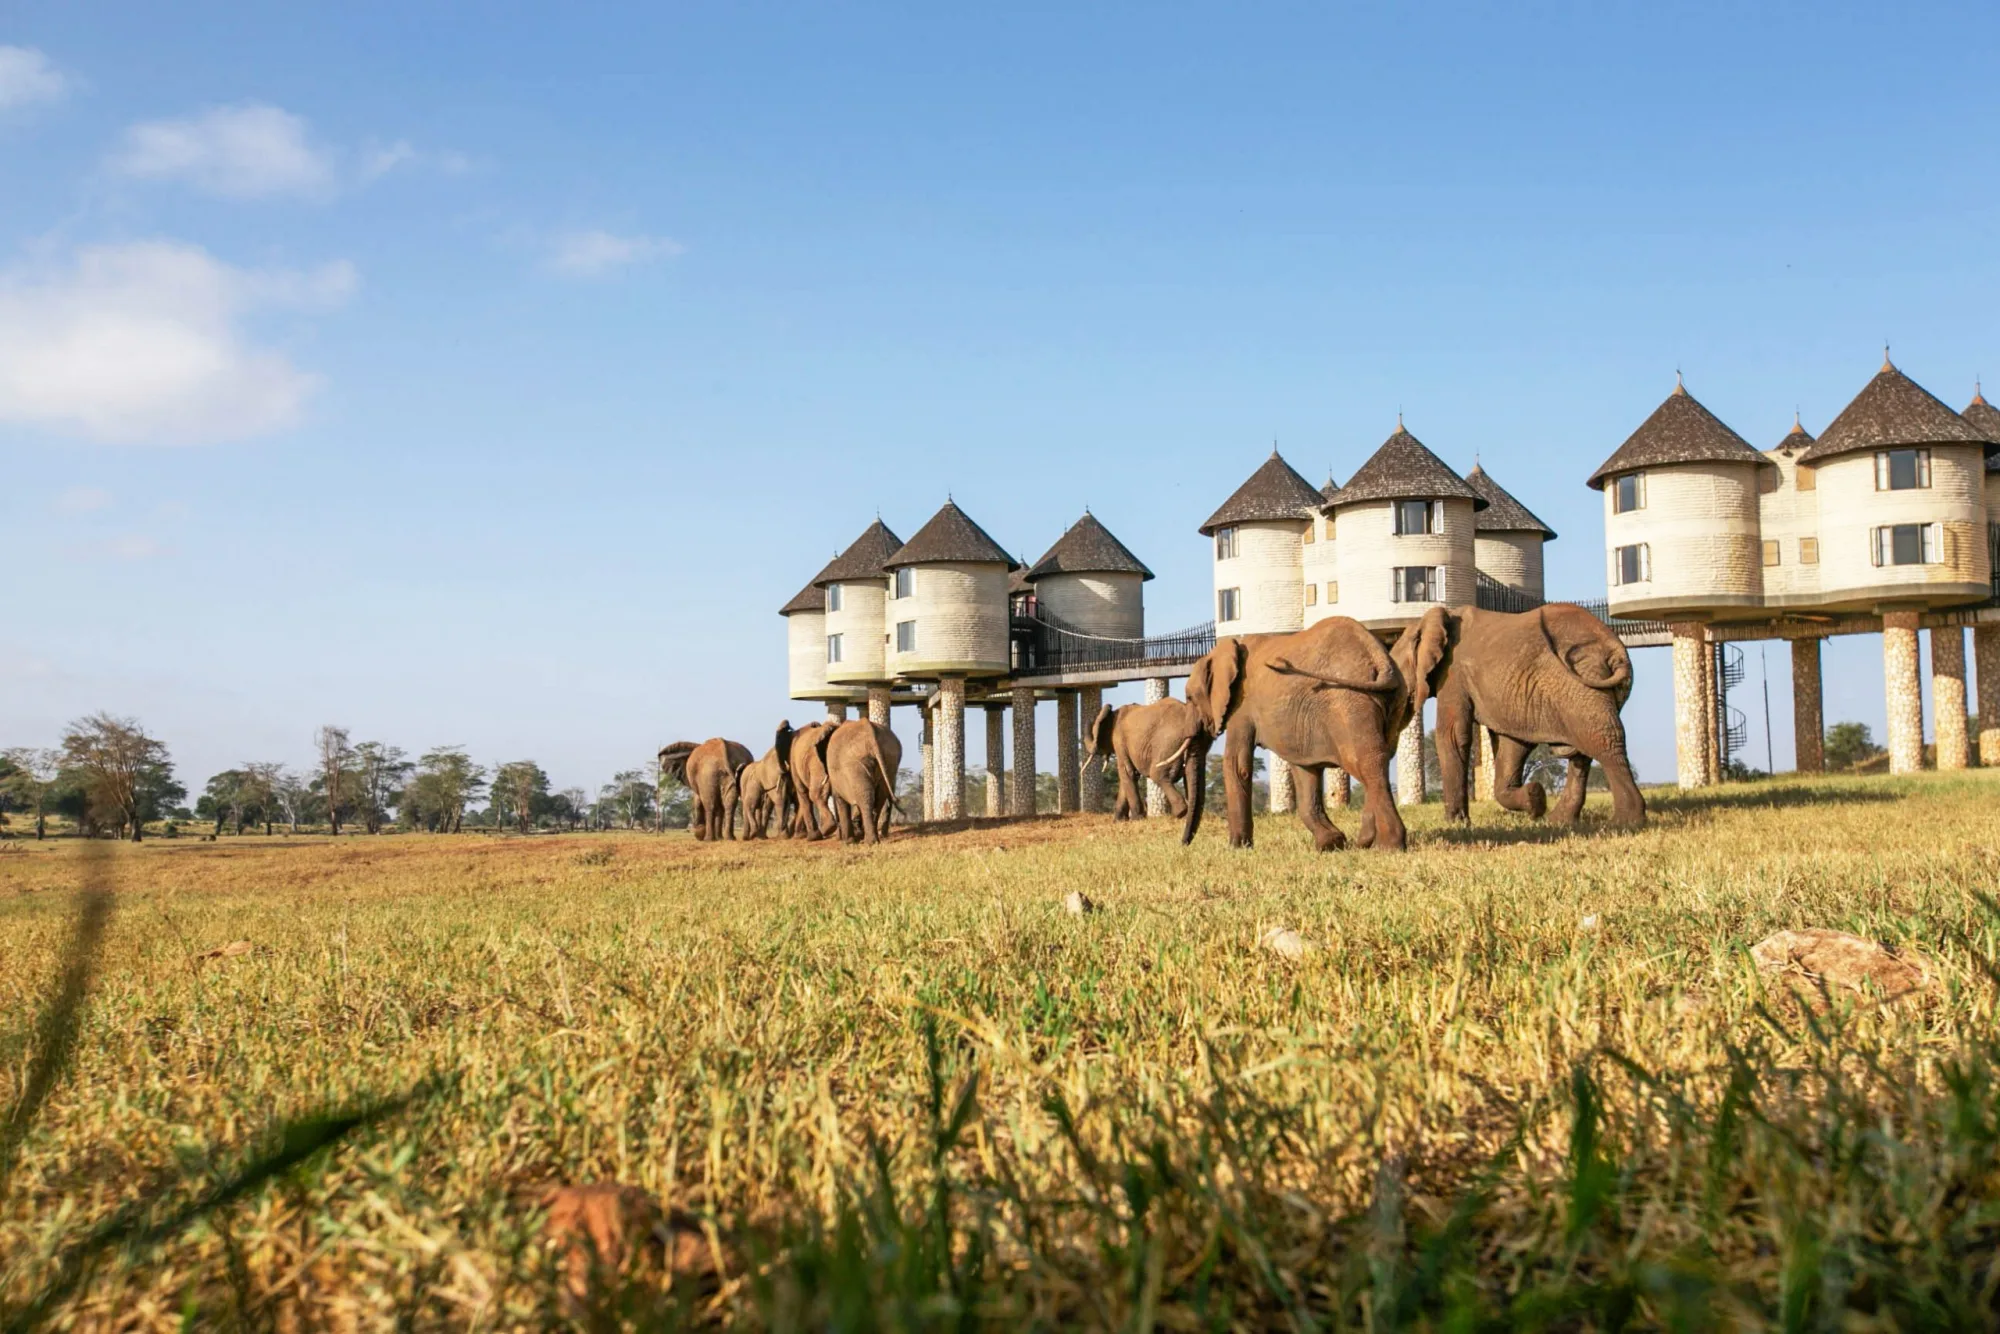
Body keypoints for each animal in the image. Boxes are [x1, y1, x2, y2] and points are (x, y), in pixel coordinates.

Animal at [1181, 610, 1450, 854]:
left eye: (1190, 698)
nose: (1184, 844)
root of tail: (1382, 663)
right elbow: (1304, 770)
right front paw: (1330, 844)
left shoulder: (1241, 707)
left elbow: (1237, 765)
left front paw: (1237, 848)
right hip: (1392, 701)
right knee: (1379, 760)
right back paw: (1366, 843)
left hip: (1350, 702)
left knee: (1364, 762)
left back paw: (1388, 846)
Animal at [1430, 604, 1645, 828]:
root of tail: (1615, 648)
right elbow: (1513, 744)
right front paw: (1534, 800)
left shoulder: (1453, 672)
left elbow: (1453, 736)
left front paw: (1455, 822)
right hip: (1596, 686)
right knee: (1585, 747)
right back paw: (1560, 820)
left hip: (1582, 681)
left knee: (1601, 739)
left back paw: (1625, 822)